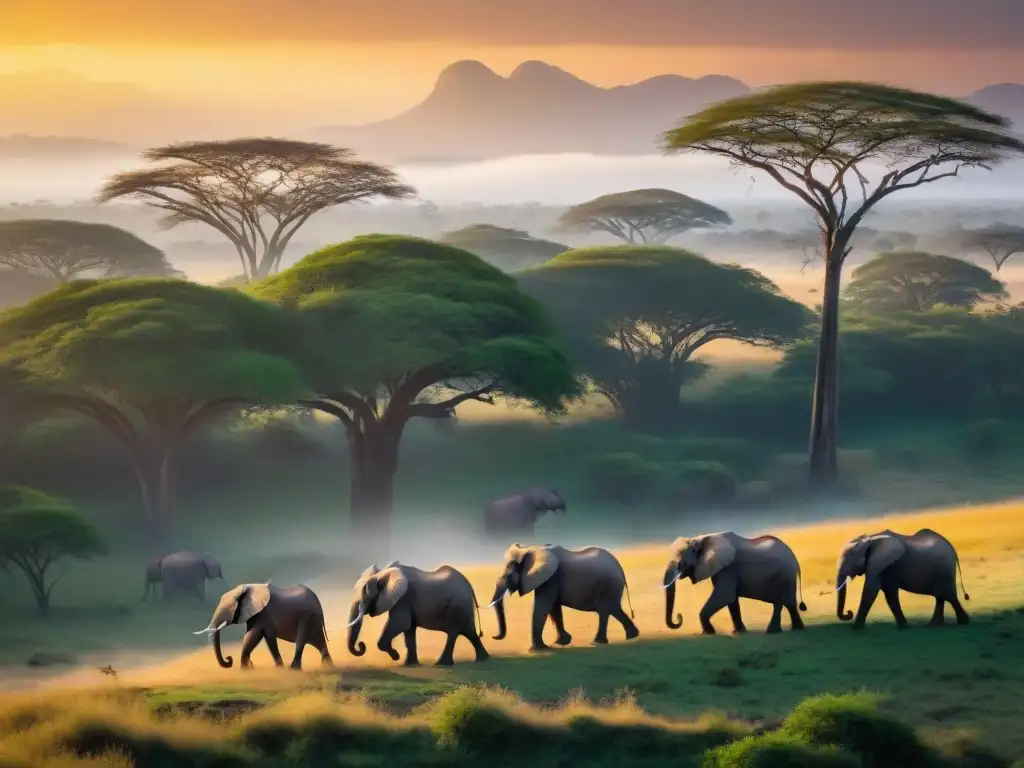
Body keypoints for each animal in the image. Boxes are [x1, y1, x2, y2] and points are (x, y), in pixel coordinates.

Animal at [193, 585, 333, 671]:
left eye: (229, 609)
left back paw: (293, 670)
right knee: (319, 641)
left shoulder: (264, 614)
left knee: (302, 640)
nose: (229, 659)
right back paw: (328, 667)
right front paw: (248, 670)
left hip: (307, 616)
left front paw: (278, 669)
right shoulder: (254, 614)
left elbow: (259, 636)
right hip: (313, 619)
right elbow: (251, 636)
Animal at [344, 561, 487, 667]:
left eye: (365, 597)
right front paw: (408, 664)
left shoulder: (404, 598)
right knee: (470, 633)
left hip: (457, 606)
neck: (383, 573)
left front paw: (396, 656)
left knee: (454, 633)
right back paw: (482, 659)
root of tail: (469, 586)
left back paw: (441, 664)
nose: (361, 645)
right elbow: (408, 630)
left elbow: (400, 624)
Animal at [485, 544, 634, 651]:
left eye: (508, 576)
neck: (529, 548)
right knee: (614, 609)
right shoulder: (549, 579)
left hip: (609, 585)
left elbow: (543, 606)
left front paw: (536, 650)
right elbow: (554, 607)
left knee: (604, 611)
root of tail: (621, 570)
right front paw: (561, 642)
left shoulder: (551, 578)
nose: (494, 636)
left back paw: (596, 642)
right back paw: (632, 636)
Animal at [663, 536, 806, 638]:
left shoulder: (728, 568)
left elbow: (725, 595)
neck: (701, 539)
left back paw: (773, 632)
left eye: (681, 563)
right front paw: (739, 632)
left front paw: (708, 633)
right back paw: (796, 629)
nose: (679, 617)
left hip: (784, 577)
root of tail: (796, 560)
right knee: (788, 605)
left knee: (781, 603)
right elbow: (731, 600)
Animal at [827, 528, 970, 630]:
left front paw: (855, 628)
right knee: (941, 597)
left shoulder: (888, 565)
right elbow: (887, 593)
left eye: (848, 560)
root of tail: (952, 547)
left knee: (949, 596)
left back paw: (963, 622)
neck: (870, 539)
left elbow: (873, 591)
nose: (848, 613)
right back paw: (934, 625)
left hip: (945, 570)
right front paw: (904, 626)